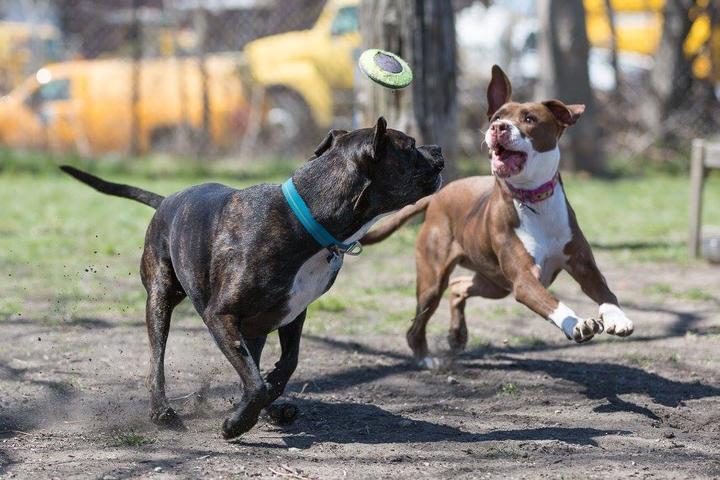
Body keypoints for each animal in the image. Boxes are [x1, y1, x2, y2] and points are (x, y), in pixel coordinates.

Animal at [62, 117, 442, 438]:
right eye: (410, 146)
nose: (438, 149)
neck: (307, 218)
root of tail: (167, 200)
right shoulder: (220, 315)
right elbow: (256, 383)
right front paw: (237, 423)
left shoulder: (293, 314)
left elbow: (284, 366)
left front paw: (264, 401)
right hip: (160, 299)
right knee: (157, 361)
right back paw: (163, 413)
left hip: (252, 328)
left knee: (250, 367)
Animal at [362, 65, 632, 368]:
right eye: (497, 117)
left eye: (529, 118)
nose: (497, 128)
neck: (533, 198)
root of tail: (439, 195)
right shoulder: (524, 281)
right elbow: (552, 302)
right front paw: (575, 323)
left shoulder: (583, 265)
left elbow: (605, 290)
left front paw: (618, 318)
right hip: (434, 278)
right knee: (419, 321)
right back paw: (425, 358)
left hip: (494, 283)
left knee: (458, 286)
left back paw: (457, 335)